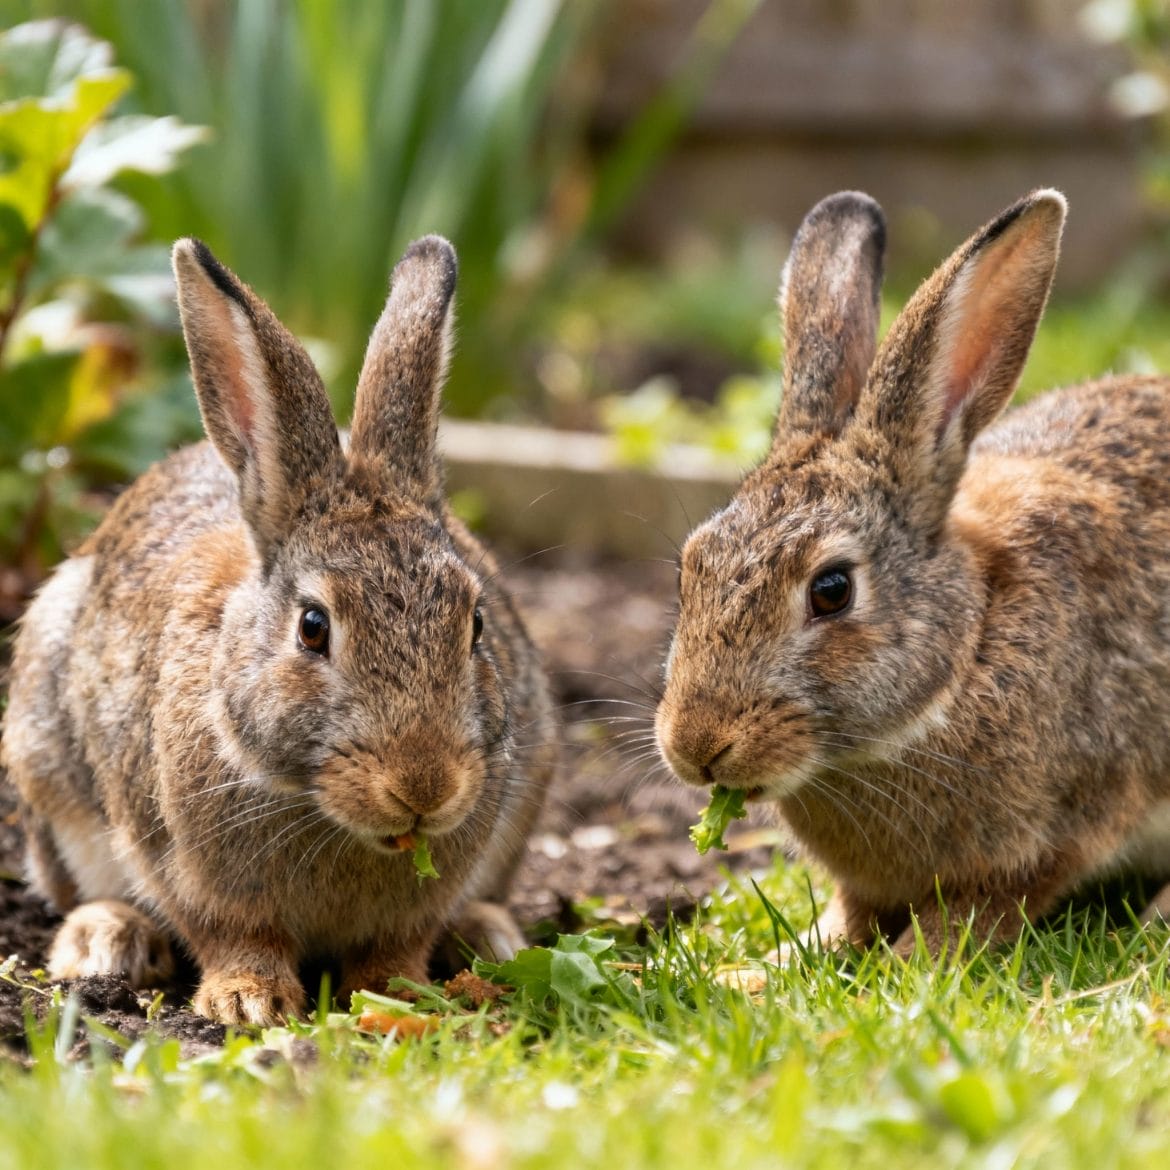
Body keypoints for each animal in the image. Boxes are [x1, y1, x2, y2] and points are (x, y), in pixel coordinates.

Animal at [1, 234, 557, 1024]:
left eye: (476, 622)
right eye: (313, 628)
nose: (424, 786)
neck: (323, 808)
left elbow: (398, 943)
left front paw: (400, 993)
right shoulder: (184, 864)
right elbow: (233, 933)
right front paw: (248, 1002)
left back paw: (488, 936)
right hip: (46, 765)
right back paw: (106, 942)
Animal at [655, 188, 1170, 957]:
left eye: (831, 591)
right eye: (691, 567)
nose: (696, 747)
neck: (969, 649)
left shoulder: (1055, 837)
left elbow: (964, 923)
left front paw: (905, 965)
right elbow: (848, 917)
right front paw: (768, 963)